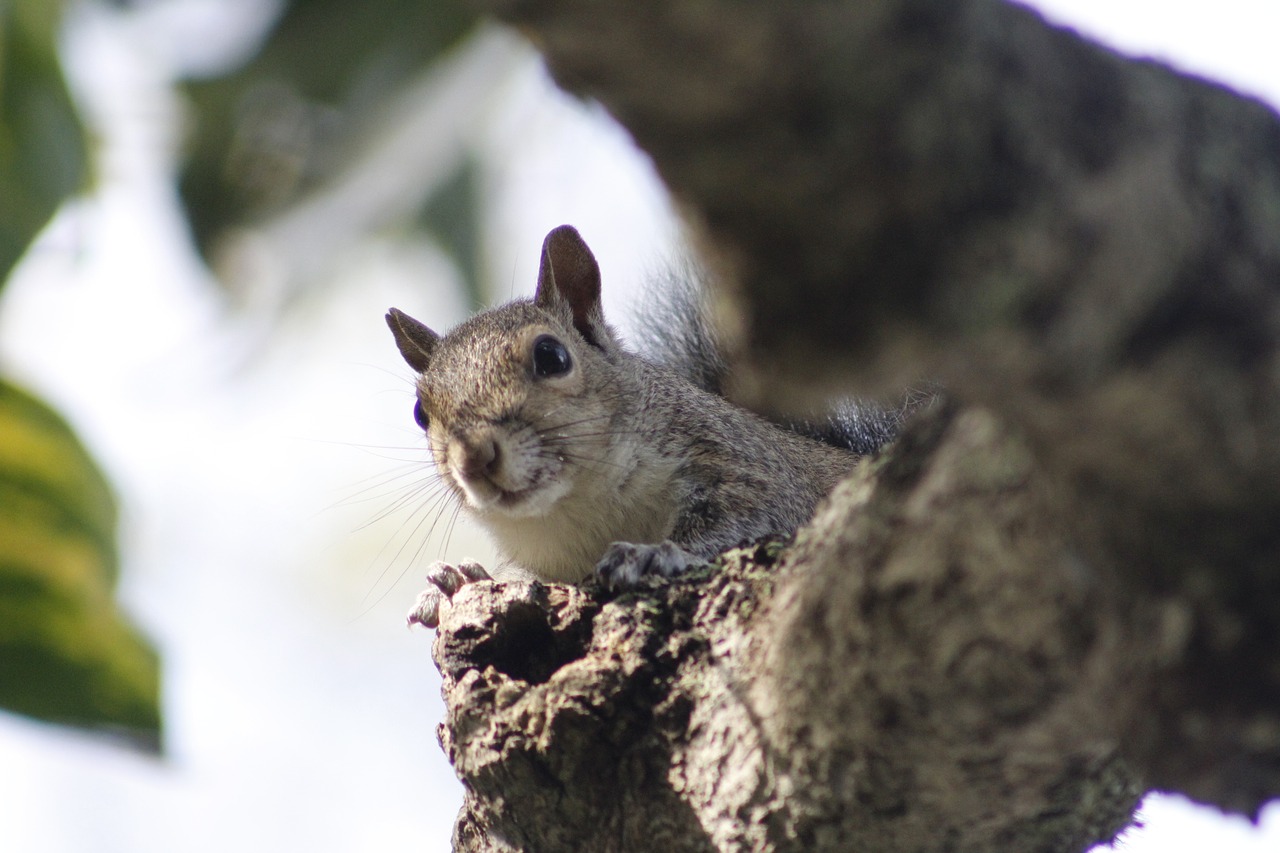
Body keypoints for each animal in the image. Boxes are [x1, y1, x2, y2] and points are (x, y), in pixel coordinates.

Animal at [384, 224, 906, 625]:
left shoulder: (748, 467)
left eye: (552, 356)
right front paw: (464, 580)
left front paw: (655, 553)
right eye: (420, 413)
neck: (579, 508)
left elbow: (754, 515)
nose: (474, 455)